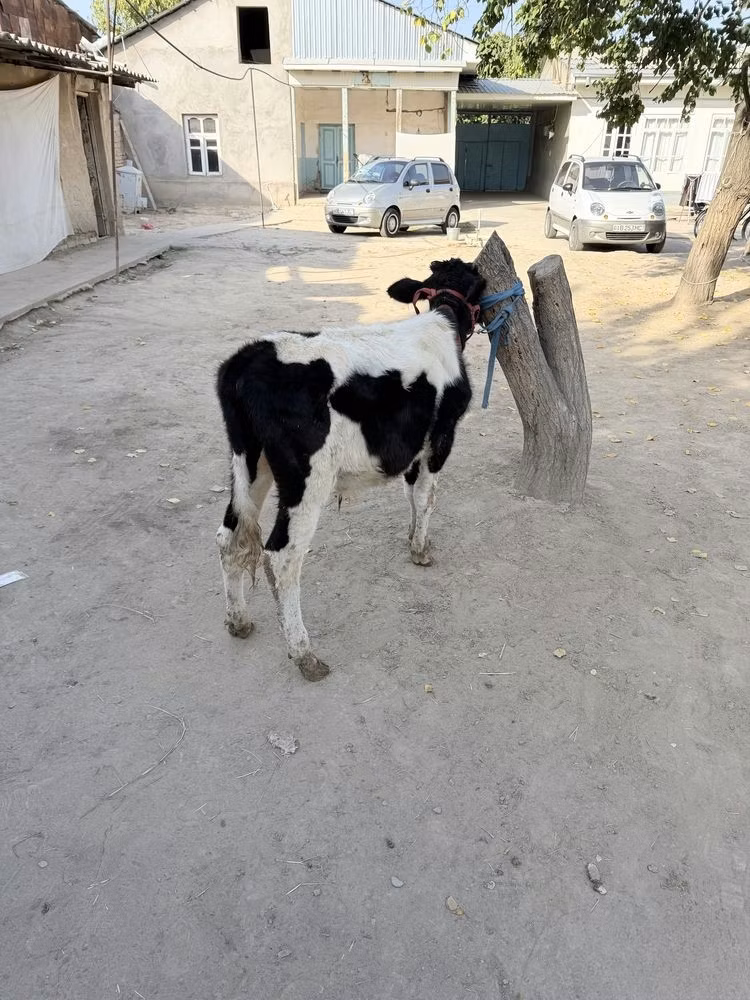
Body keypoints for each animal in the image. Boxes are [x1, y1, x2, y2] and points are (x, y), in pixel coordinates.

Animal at [215, 257, 486, 681]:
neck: (443, 321)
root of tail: (245, 362)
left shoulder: (411, 444)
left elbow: (410, 492)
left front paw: (411, 538)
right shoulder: (440, 437)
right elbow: (427, 496)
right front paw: (421, 550)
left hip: (247, 462)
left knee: (230, 537)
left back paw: (238, 621)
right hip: (306, 478)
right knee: (282, 555)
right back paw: (304, 653)